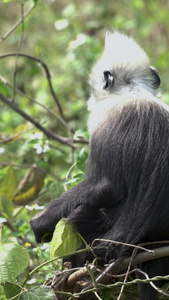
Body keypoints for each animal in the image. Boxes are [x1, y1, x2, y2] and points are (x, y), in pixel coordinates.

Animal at [30, 29, 169, 298]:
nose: (88, 100)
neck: (133, 92)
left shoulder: (102, 118)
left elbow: (106, 187)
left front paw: (39, 223)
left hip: (106, 248)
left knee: (77, 216)